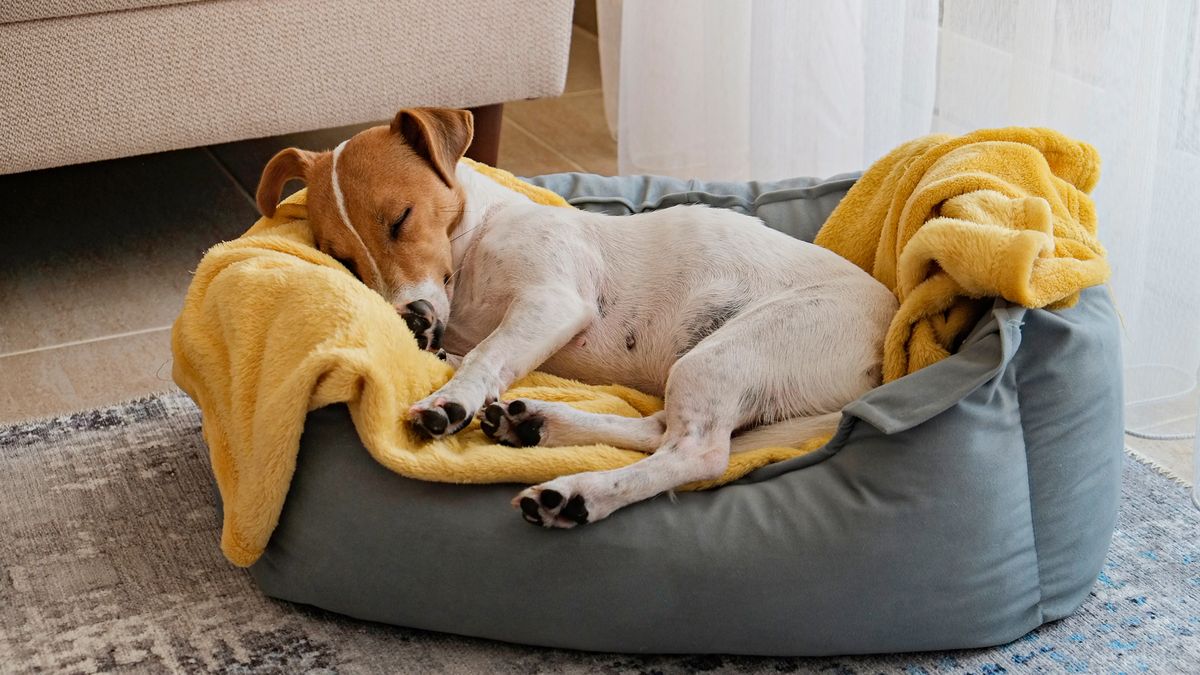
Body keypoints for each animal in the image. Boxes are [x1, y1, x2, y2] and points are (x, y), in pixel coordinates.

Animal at [258, 106, 897, 526]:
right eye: (341, 258)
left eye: (401, 219)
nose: (410, 319)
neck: (474, 244)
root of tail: (883, 360)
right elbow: (470, 355)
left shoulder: (553, 301)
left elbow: (487, 355)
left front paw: (450, 401)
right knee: (659, 429)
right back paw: (538, 422)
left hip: (726, 354)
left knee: (696, 453)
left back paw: (576, 492)